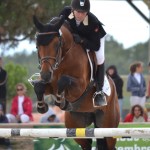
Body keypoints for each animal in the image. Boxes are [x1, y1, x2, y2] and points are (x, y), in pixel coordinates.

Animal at [32, 15, 119, 150]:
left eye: (57, 45)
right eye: (37, 45)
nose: (45, 74)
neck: (64, 57)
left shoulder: (79, 87)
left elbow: (63, 81)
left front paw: (60, 101)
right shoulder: (50, 85)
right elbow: (39, 86)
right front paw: (42, 106)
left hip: (108, 126)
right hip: (76, 125)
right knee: (86, 144)